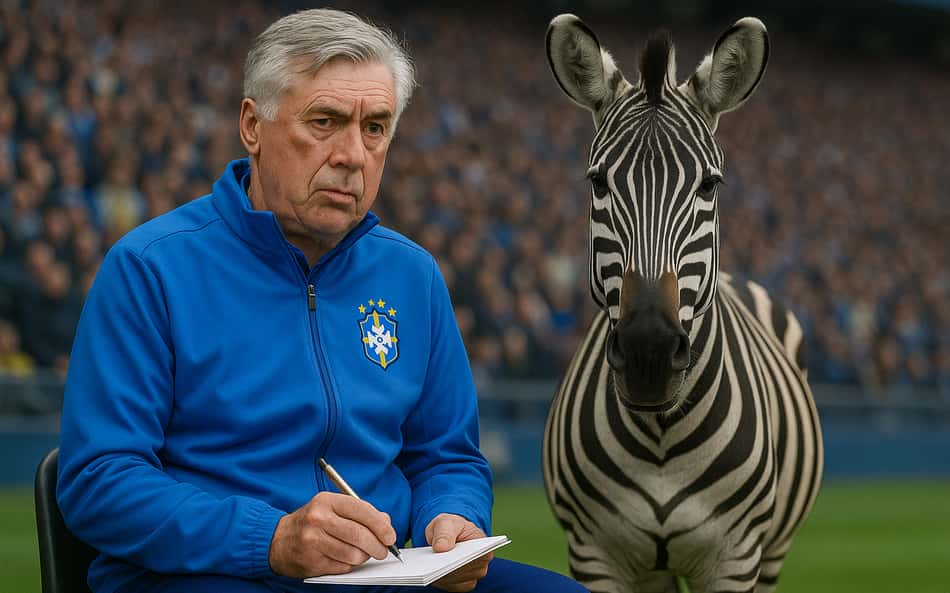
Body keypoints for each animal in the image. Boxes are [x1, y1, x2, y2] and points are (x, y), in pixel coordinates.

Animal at [541, 14, 823, 593]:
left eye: (709, 185)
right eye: (598, 182)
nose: (648, 354)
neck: (661, 436)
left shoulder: (737, 557)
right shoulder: (593, 555)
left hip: (773, 551)